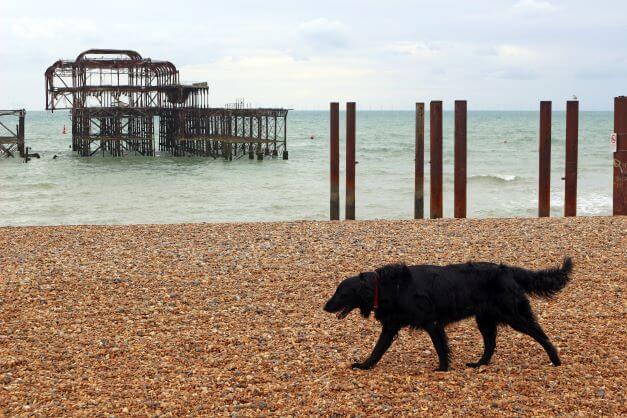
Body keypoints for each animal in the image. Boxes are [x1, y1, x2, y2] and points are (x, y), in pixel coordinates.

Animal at [324, 258, 576, 372]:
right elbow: (377, 349)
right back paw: (479, 364)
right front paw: (365, 365)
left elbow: (440, 347)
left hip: (515, 315)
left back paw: (555, 360)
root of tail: (507, 270)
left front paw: (443, 368)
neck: (389, 287)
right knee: (490, 344)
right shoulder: (391, 326)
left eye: (341, 293)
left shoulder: (432, 323)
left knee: (540, 334)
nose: (325, 306)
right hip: (485, 319)